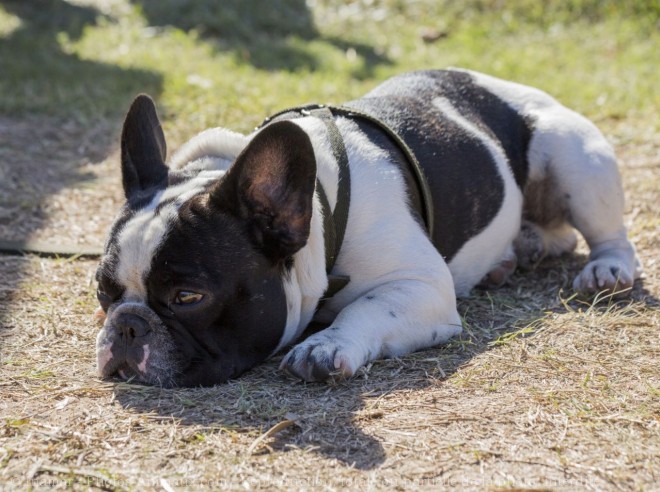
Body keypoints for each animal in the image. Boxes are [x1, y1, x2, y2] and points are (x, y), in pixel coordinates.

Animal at [95, 67, 640, 386]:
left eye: (189, 297)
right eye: (102, 291)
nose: (127, 325)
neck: (320, 207)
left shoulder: (421, 287)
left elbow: (368, 309)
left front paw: (327, 345)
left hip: (573, 156)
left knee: (606, 233)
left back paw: (607, 270)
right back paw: (514, 254)